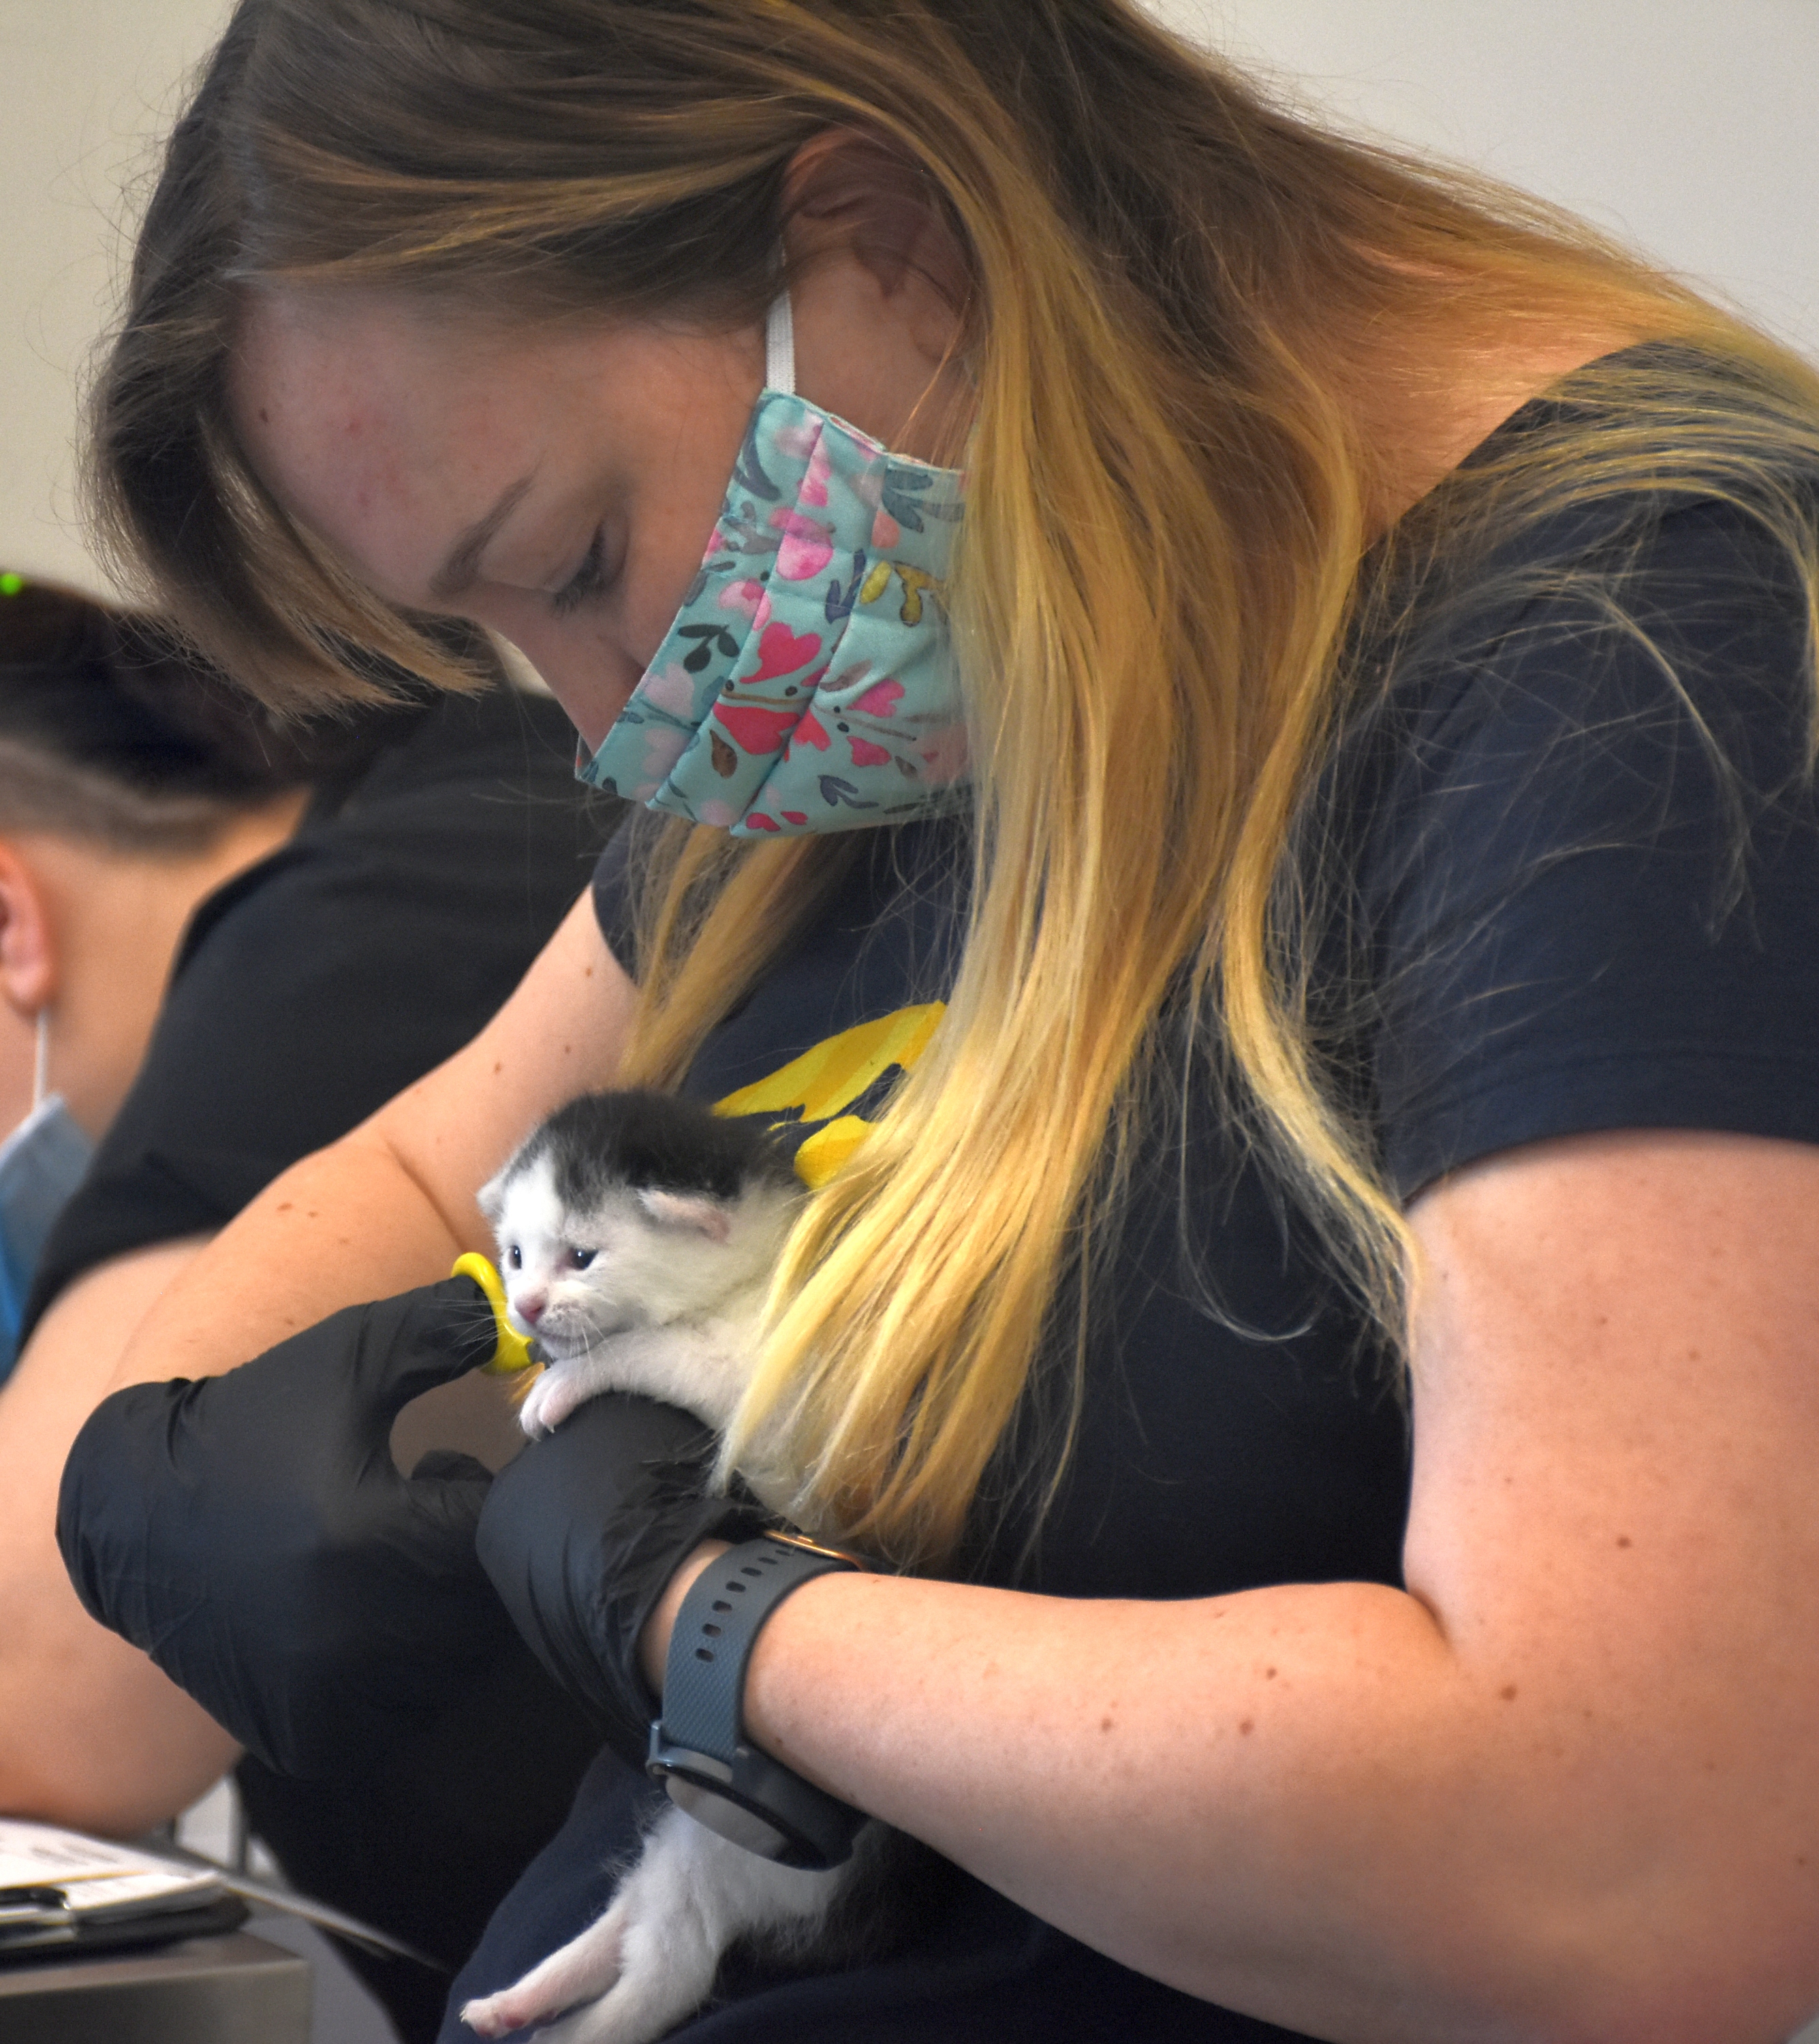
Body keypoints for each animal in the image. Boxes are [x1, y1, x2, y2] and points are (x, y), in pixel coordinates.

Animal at [460, 1096, 879, 2044]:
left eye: (582, 1256)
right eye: (514, 1254)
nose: (526, 1306)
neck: (752, 1275)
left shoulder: (755, 1376)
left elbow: (646, 1350)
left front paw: (564, 1384)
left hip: (772, 1855)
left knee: (669, 1973)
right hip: (704, 1840)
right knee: (639, 1917)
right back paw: (515, 2003)